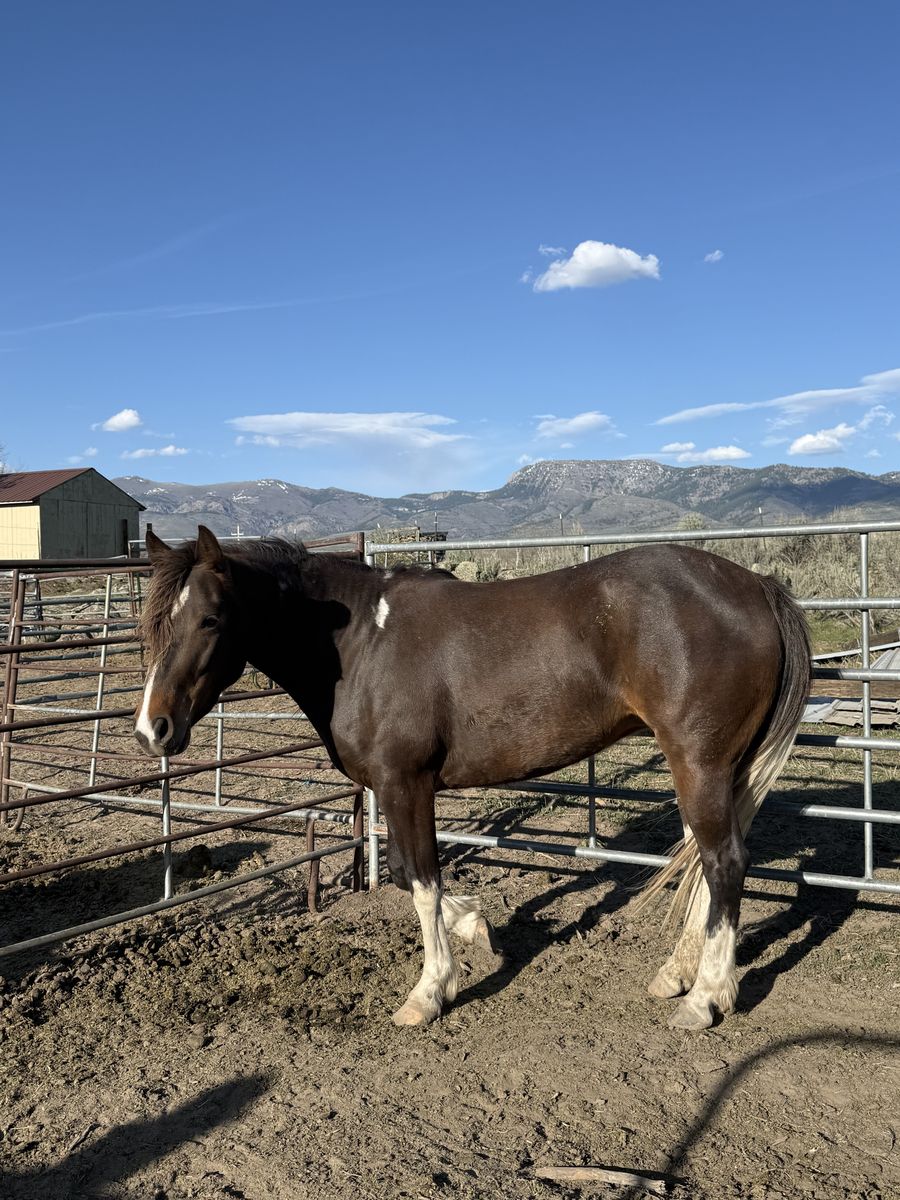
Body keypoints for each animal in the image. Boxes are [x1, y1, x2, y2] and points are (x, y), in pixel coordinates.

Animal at [134, 525, 811, 1031]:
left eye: (211, 619)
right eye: (153, 623)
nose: (151, 730)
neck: (360, 642)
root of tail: (756, 584)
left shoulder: (406, 783)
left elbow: (422, 879)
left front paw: (432, 990)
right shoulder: (396, 789)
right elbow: (407, 873)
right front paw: (478, 929)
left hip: (700, 761)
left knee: (724, 862)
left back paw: (706, 998)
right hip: (717, 768)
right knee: (703, 860)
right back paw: (678, 975)